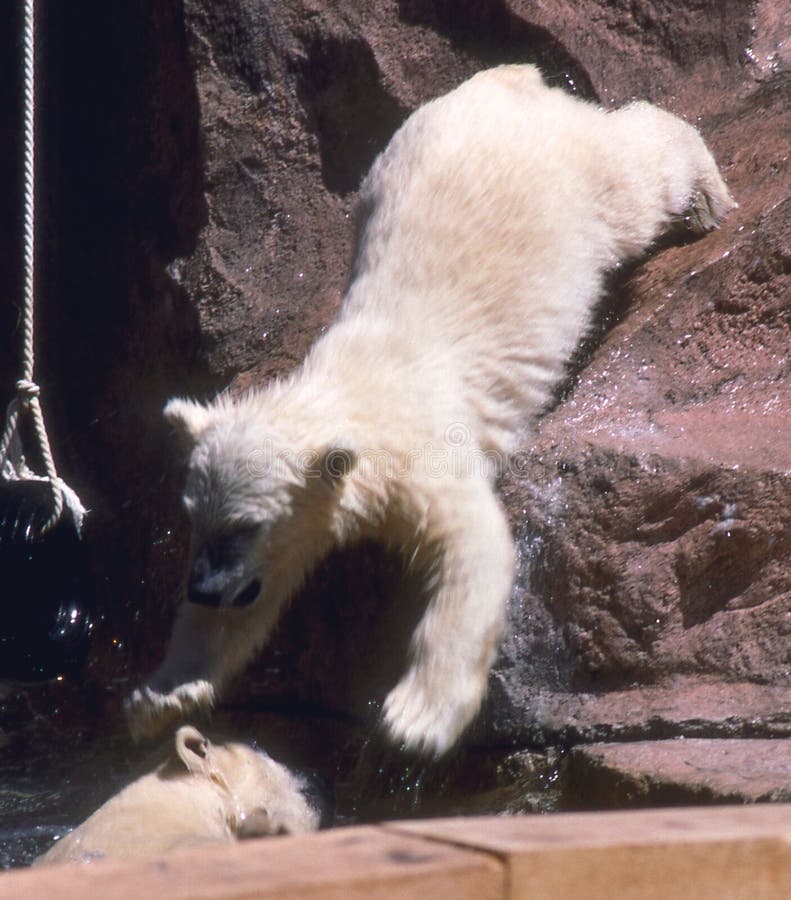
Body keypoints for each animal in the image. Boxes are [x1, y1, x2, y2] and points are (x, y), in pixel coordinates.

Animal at [125, 63, 736, 756]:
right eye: (193, 517)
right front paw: (160, 696)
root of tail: (505, 80)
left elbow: (473, 546)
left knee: (636, 176)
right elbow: (257, 600)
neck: (347, 392)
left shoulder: (420, 453)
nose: (202, 587)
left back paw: (707, 197)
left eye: (246, 525)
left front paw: (415, 718)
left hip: (572, 186)